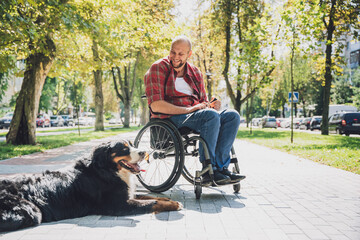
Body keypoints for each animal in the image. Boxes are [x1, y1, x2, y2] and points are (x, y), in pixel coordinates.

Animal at [0, 141, 183, 232]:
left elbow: (152, 196)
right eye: (124, 149)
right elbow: (151, 202)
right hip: (32, 211)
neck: (107, 170)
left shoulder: (127, 194)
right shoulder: (119, 205)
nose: (144, 152)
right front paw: (174, 204)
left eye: (132, 145)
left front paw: (170, 201)